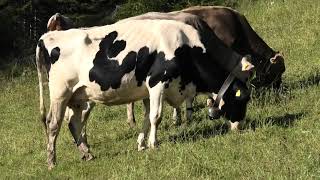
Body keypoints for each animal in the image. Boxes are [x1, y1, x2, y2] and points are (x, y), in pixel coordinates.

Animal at [36, 13, 254, 169]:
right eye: (242, 99)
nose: (240, 126)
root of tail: (46, 37)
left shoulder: (149, 91)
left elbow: (147, 118)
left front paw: (141, 144)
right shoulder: (158, 83)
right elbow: (156, 117)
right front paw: (153, 144)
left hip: (78, 96)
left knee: (73, 123)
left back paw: (87, 154)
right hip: (60, 93)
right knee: (53, 124)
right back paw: (51, 162)